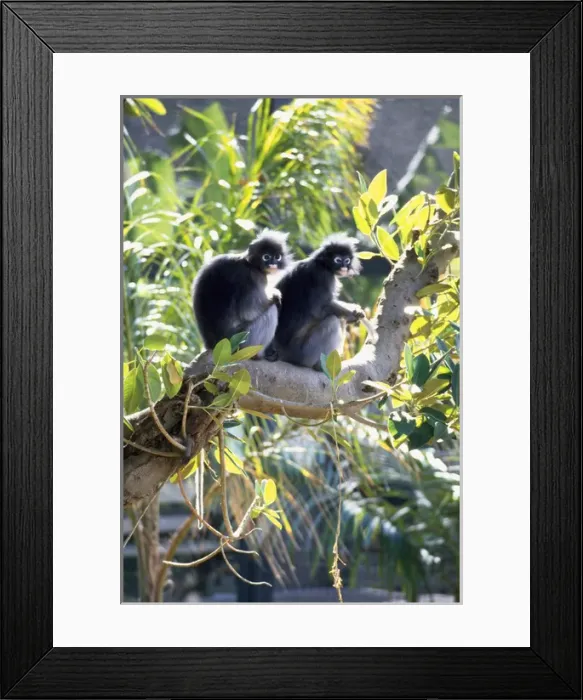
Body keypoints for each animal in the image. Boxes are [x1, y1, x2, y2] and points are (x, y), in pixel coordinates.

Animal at [267, 234, 364, 370]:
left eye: (347, 260)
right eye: (338, 260)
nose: (344, 267)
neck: (322, 264)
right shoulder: (323, 276)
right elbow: (319, 309)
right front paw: (353, 312)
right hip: (303, 353)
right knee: (333, 321)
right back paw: (321, 366)